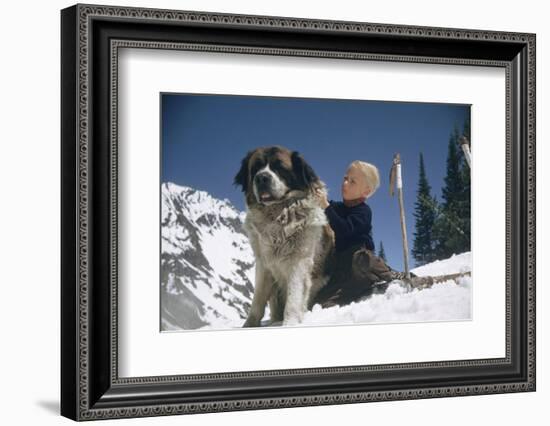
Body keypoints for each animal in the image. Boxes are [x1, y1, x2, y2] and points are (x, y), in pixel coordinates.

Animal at [234, 145, 336, 328]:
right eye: (256, 168)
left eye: (279, 167)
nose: (262, 178)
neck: (278, 214)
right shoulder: (263, 263)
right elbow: (258, 298)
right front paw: (249, 325)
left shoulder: (299, 261)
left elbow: (293, 297)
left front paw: (289, 324)